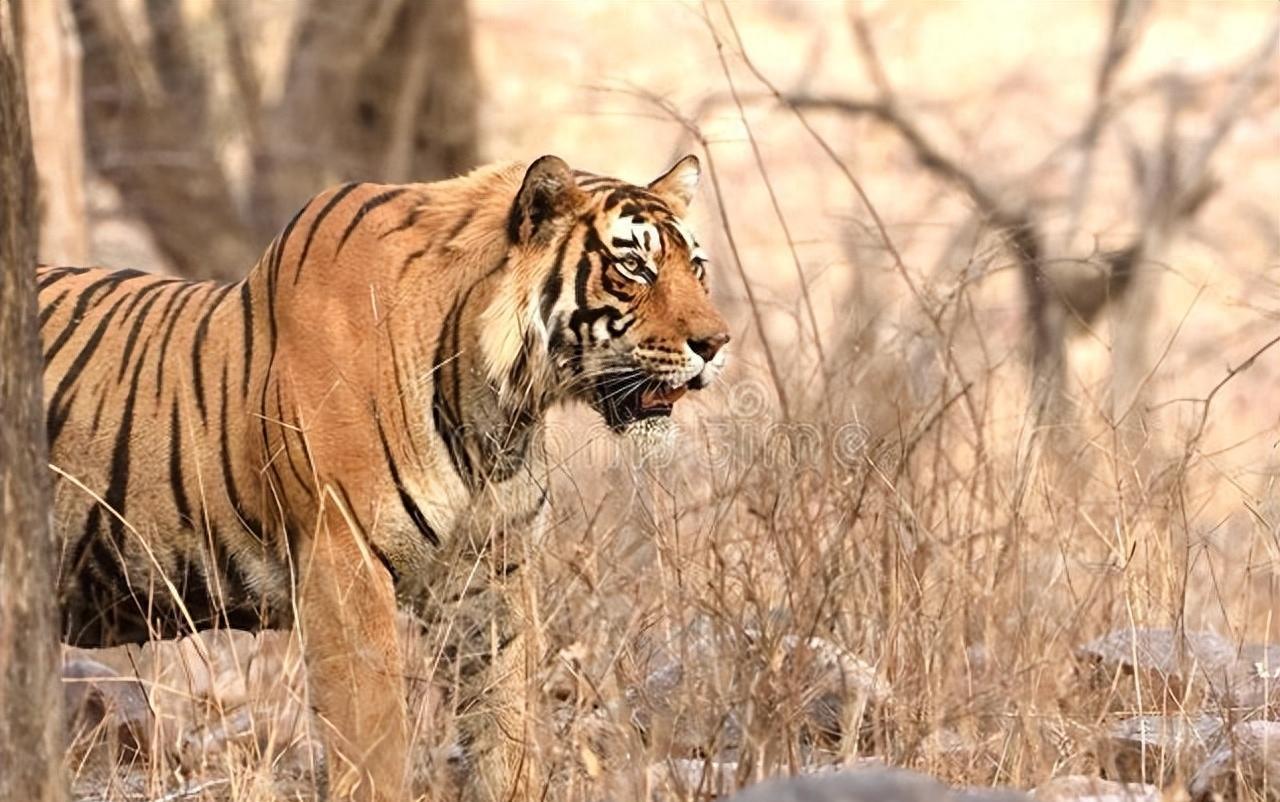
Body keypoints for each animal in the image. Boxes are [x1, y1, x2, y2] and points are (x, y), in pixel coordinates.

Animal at [37, 153, 732, 798]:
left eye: (695, 267)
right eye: (634, 267)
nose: (717, 344)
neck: (498, 405)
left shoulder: (492, 567)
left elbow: (505, 718)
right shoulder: (344, 557)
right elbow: (374, 734)